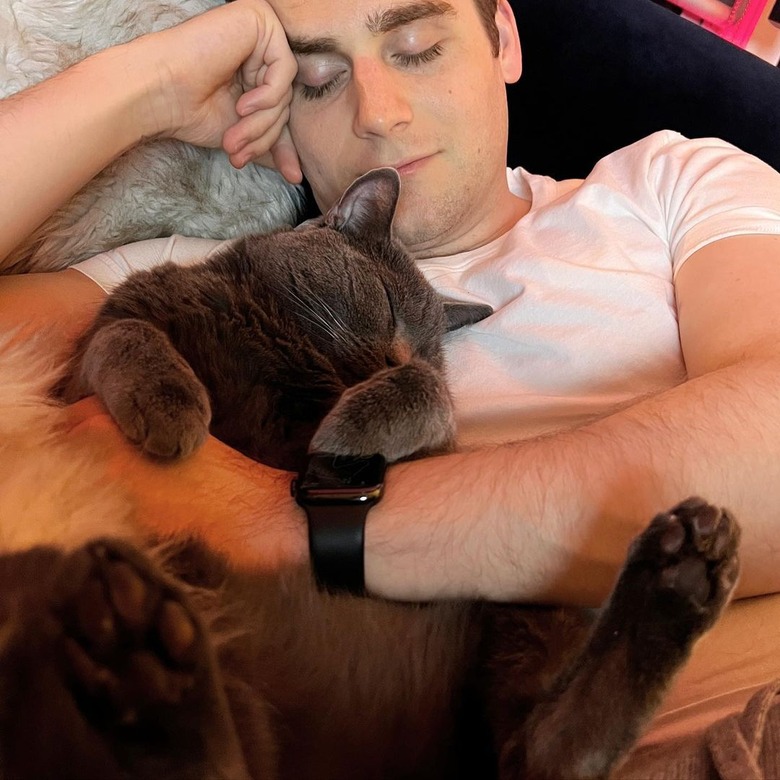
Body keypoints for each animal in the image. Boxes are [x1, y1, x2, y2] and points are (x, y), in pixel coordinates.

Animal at [1, 168, 744, 776]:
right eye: (385, 302)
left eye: (430, 344)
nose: (397, 354)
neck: (284, 355)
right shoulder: (97, 350)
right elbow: (124, 337)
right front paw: (173, 410)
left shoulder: (435, 453)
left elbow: (428, 400)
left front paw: (349, 425)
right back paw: (145, 670)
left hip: (528, 589)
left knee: (543, 754)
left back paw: (682, 573)